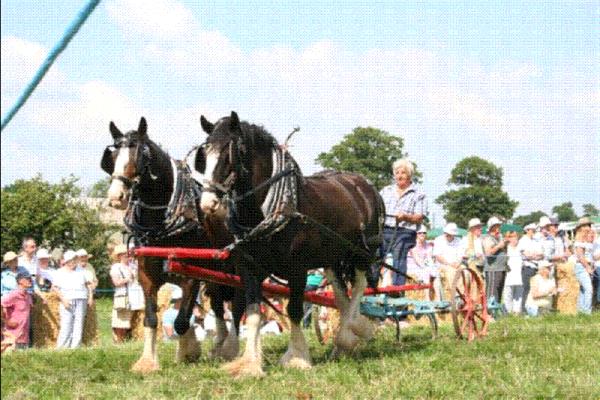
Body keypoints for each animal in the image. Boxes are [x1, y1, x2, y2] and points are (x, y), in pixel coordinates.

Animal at [101, 117, 244, 374]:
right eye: (113, 156)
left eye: (141, 155)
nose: (116, 197)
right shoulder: (146, 274)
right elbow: (152, 318)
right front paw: (147, 361)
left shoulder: (191, 276)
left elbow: (181, 321)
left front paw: (188, 351)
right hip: (215, 275)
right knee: (218, 304)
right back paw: (219, 345)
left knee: (237, 304)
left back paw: (229, 346)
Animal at [197, 111, 384, 376]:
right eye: (205, 153)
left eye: (230, 153)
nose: (207, 203)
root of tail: (363, 184)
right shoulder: (249, 268)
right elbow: (252, 312)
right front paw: (250, 363)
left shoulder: (298, 269)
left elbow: (294, 310)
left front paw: (297, 357)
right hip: (331, 258)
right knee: (340, 294)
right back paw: (343, 344)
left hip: (361, 253)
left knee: (358, 287)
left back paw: (350, 334)